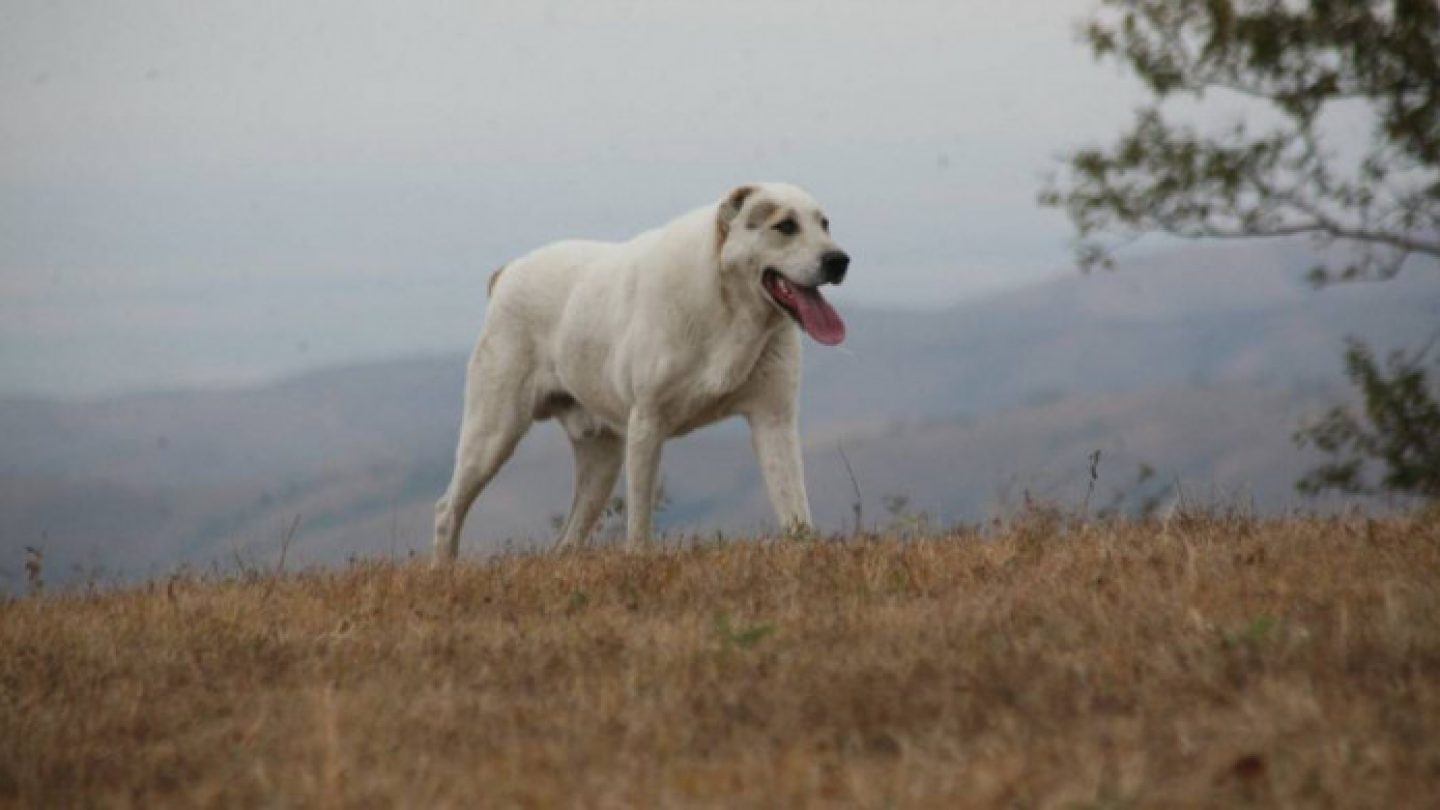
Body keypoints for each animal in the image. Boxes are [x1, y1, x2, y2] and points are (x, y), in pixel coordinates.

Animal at [432, 183, 846, 562]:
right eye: (785, 226)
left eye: (825, 224)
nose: (839, 260)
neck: (729, 309)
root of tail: (506, 273)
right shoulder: (647, 422)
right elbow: (640, 518)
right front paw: (640, 560)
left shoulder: (774, 420)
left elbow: (794, 504)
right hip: (493, 433)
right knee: (447, 511)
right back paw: (445, 571)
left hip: (602, 461)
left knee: (566, 540)